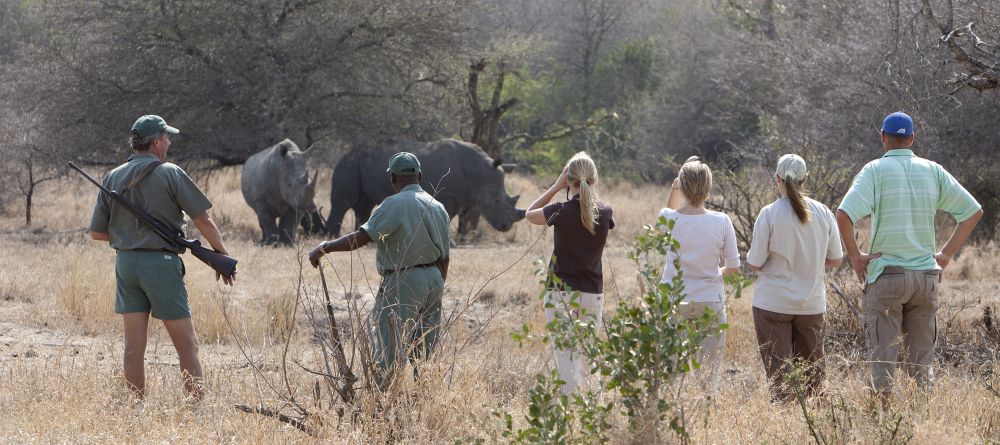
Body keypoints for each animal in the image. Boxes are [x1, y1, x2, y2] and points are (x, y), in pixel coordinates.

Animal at [326, 138, 525, 237]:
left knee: (363, 205)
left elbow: (463, 215)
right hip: (348, 164)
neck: (478, 172)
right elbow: (449, 214)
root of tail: (345, 153)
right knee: (343, 204)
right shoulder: (447, 195)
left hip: (359, 165)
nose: (506, 227)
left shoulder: (463, 196)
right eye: (497, 201)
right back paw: (331, 237)